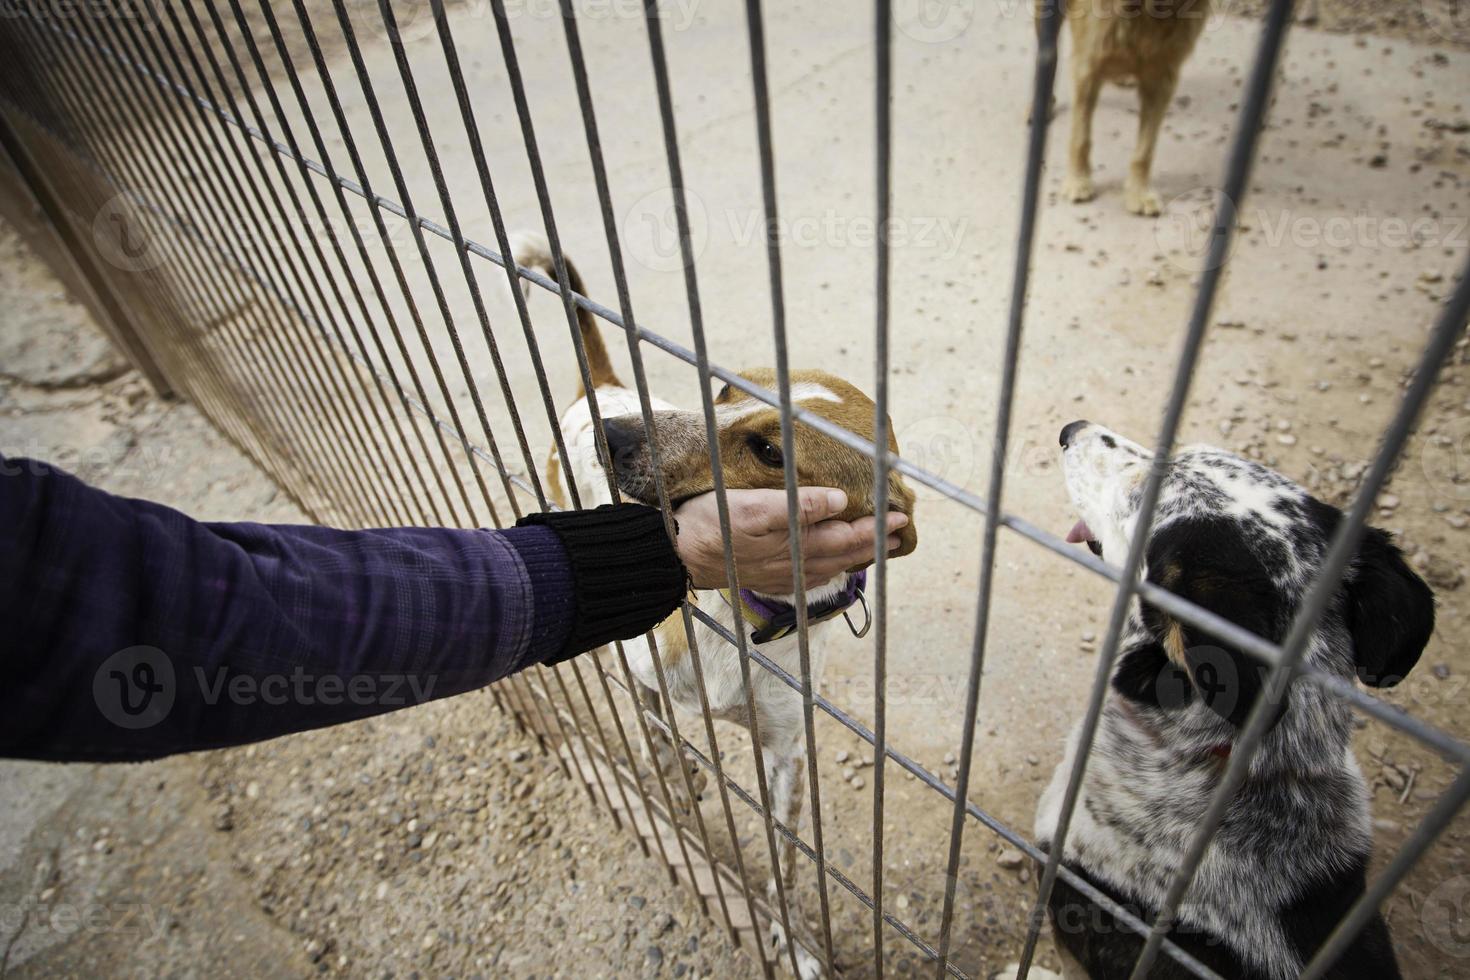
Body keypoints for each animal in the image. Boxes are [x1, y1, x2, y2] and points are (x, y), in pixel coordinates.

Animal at [511, 233, 911, 975]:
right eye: (724, 390)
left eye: (768, 449)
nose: (610, 436)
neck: (739, 619)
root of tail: (600, 388)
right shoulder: (639, 667)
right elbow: (658, 738)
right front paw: (679, 787)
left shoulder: (787, 754)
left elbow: (786, 867)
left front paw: (796, 944)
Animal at [1040, 0, 1211, 215]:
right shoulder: (1087, 67)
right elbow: (1081, 138)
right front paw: (1078, 181)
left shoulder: (1163, 79)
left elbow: (1145, 150)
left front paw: (1139, 193)